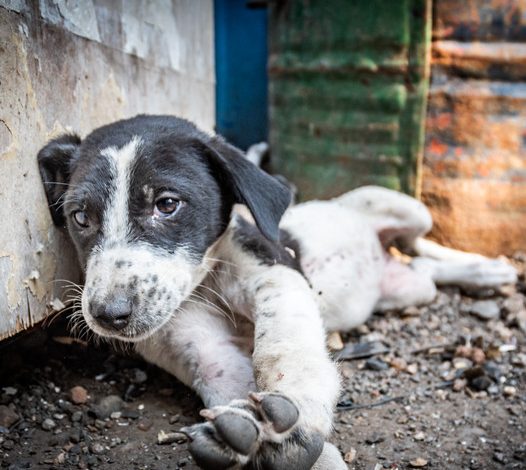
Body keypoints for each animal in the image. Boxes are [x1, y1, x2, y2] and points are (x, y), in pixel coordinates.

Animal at [38, 114, 520, 470]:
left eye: (167, 204)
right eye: (80, 217)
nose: (107, 315)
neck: (204, 283)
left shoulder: (276, 271)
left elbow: (285, 349)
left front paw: (297, 418)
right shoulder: (198, 347)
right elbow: (229, 380)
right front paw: (252, 435)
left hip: (402, 205)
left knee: (422, 243)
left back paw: (490, 268)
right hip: (408, 289)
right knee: (421, 267)